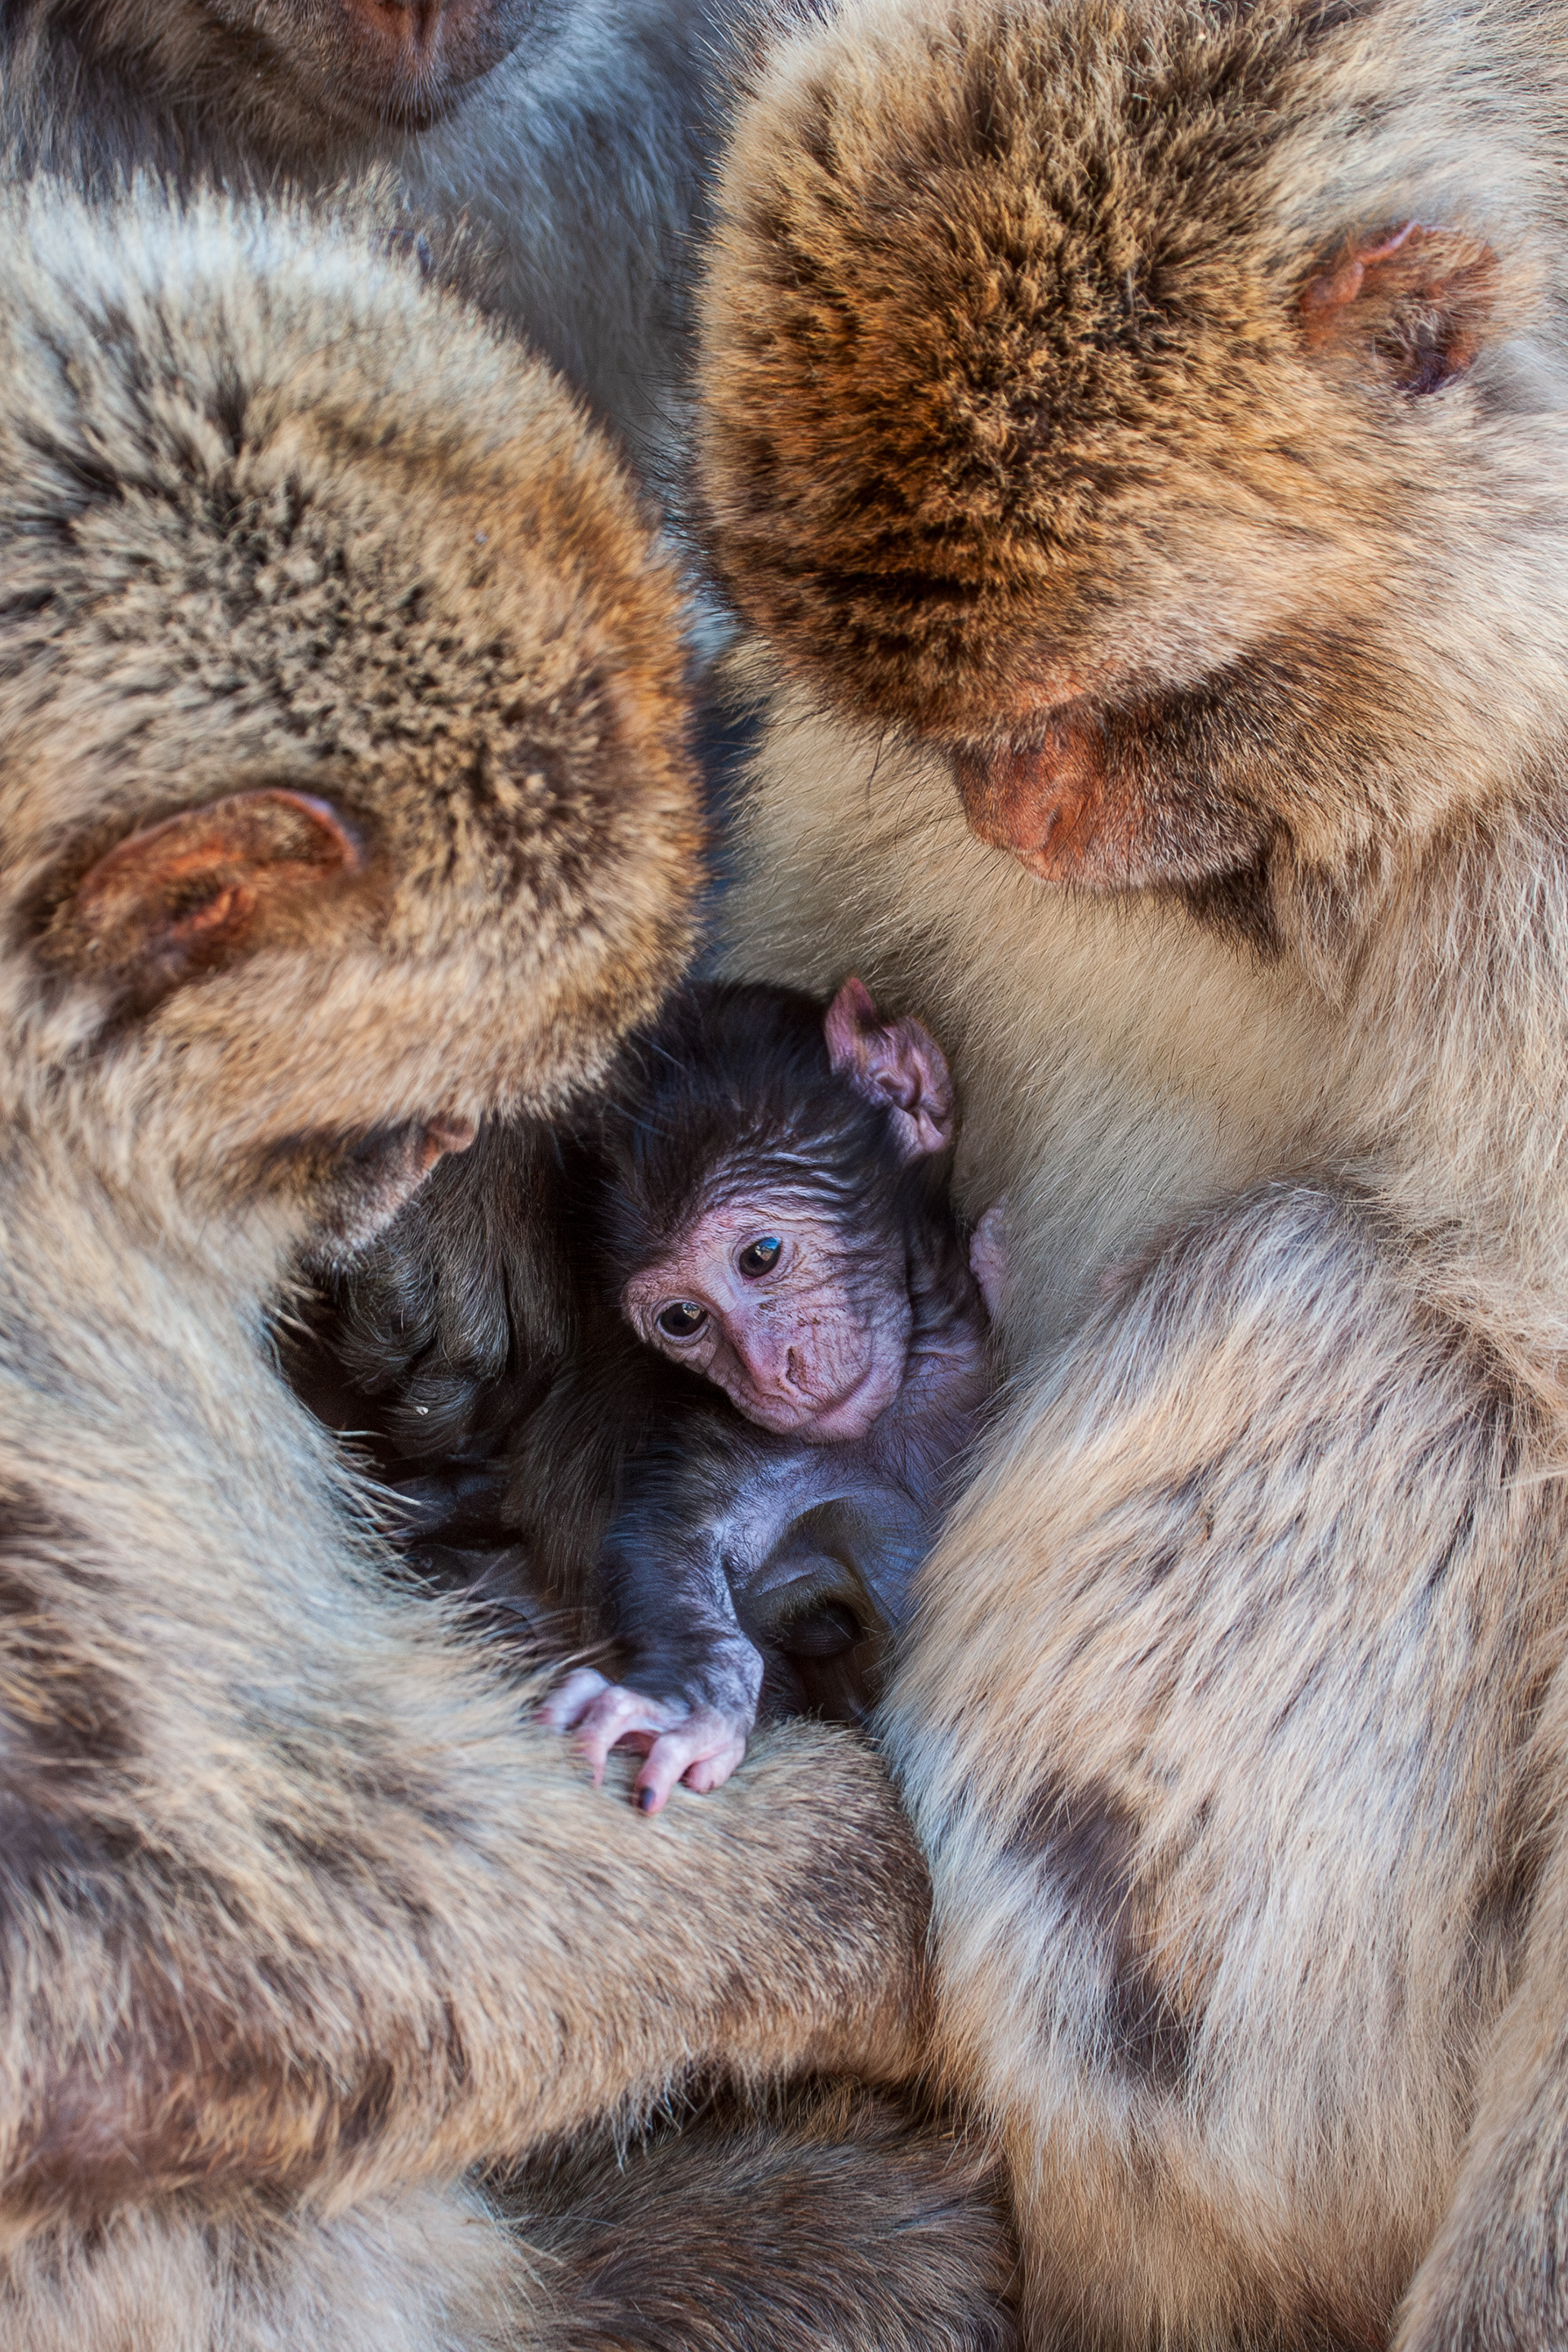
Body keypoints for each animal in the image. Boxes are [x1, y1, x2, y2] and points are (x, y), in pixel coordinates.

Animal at [540, 975, 1001, 1812]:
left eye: (761, 1256)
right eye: (683, 1319)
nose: (763, 1369)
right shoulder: (738, 1445)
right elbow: (672, 1547)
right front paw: (689, 1701)